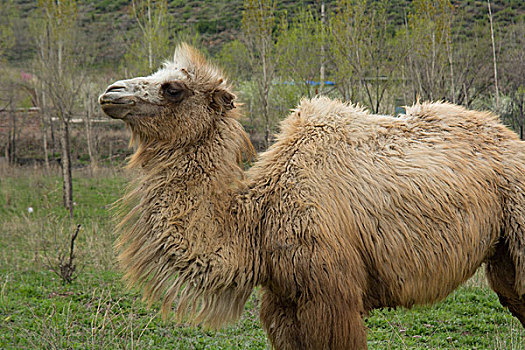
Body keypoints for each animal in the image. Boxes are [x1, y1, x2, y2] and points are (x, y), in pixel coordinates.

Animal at [99, 44, 524, 350]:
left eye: (173, 88)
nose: (110, 93)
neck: (256, 218)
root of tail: (511, 139)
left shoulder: (330, 297)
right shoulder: (282, 302)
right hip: (502, 254)